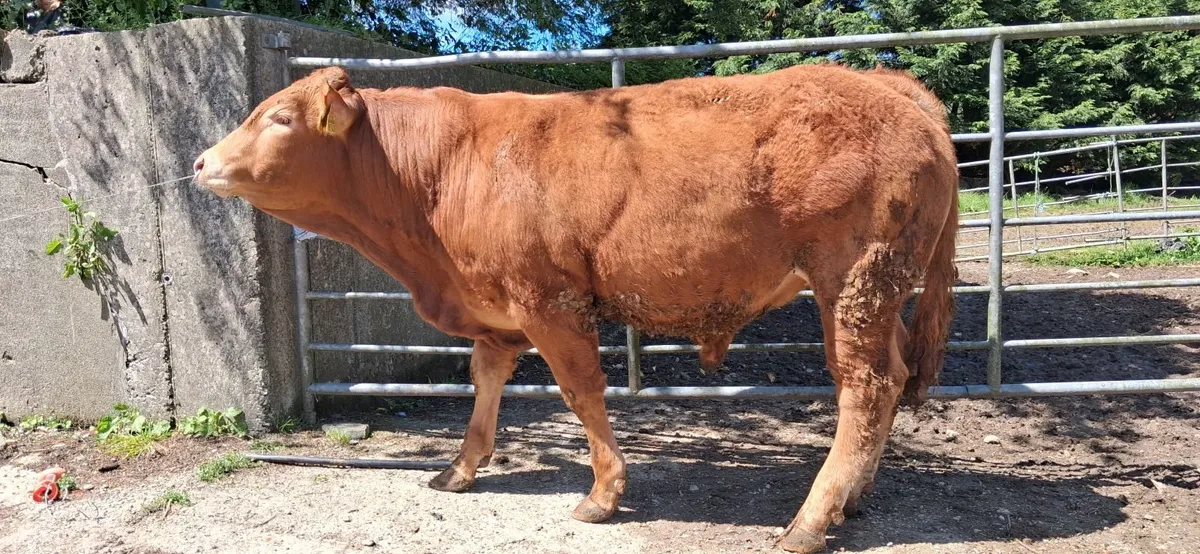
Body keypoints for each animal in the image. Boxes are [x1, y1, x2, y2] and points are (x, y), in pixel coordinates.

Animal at [193, 62, 958, 553]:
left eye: (280, 118)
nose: (200, 162)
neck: (442, 171)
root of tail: (883, 83)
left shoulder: (551, 301)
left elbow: (581, 391)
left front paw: (603, 493)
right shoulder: (496, 306)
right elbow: (486, 381)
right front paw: (460, 468)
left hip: (854, 283)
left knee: (865, 388)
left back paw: (807, 522)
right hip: (875, 296)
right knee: (889, 382)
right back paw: (852, 497)